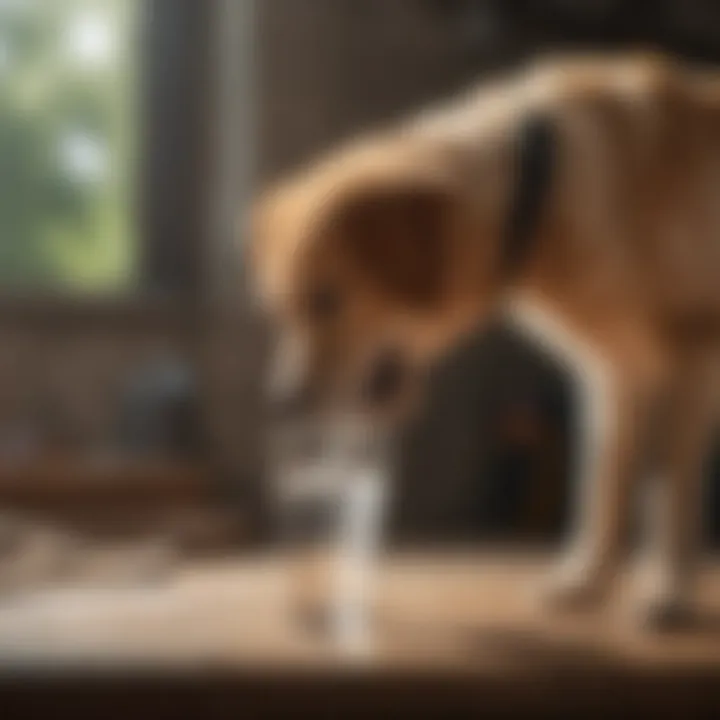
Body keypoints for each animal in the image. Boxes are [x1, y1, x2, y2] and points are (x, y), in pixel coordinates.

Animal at [252, 53, 720, 632]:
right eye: (283, 308)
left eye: (326, 299)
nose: (280, 401)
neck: (540, 192)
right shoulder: (615, 376)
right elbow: (604, 485)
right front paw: (587, 582)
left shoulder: (693, 349)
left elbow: (669, 490)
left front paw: (668, 592)